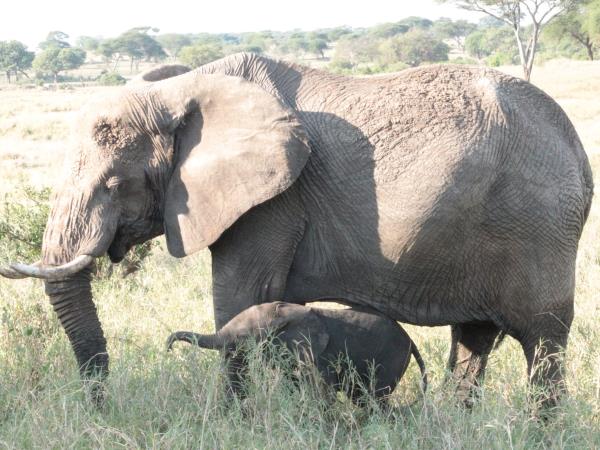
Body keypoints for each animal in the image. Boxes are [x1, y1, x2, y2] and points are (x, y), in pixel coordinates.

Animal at [166, 302, 424, 404]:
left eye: (243, 337)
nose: (168, 347)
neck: (283, 312)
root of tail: (411, 342)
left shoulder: (321, 357)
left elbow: (322, 392)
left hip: (392, 358)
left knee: (372, 399)